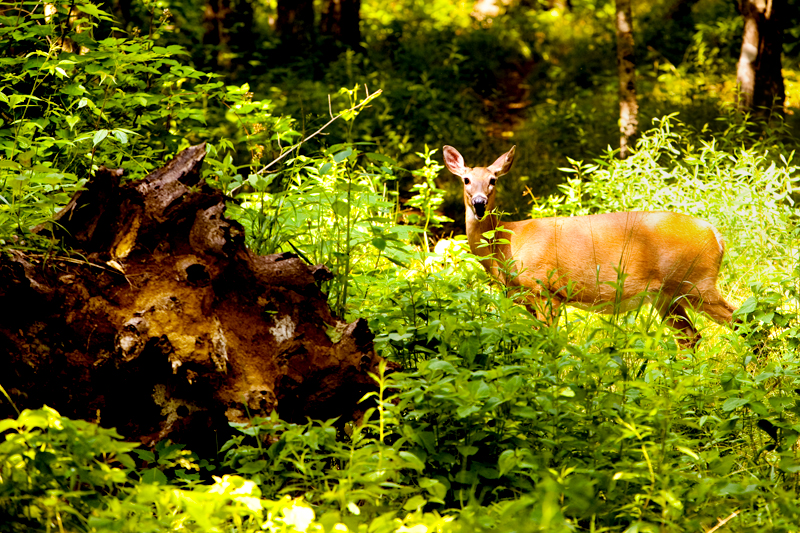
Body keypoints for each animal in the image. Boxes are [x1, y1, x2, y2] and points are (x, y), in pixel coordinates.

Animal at [444, 143, 736, 348]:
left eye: (493, 180)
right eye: (466, 180)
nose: (479, 203)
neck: (506, 245)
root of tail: (717, 235)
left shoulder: (545, 290)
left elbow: (549, 343)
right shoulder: (527, 298)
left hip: (696, 283)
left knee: (740, 320)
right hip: (666, 295)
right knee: (691, 338)